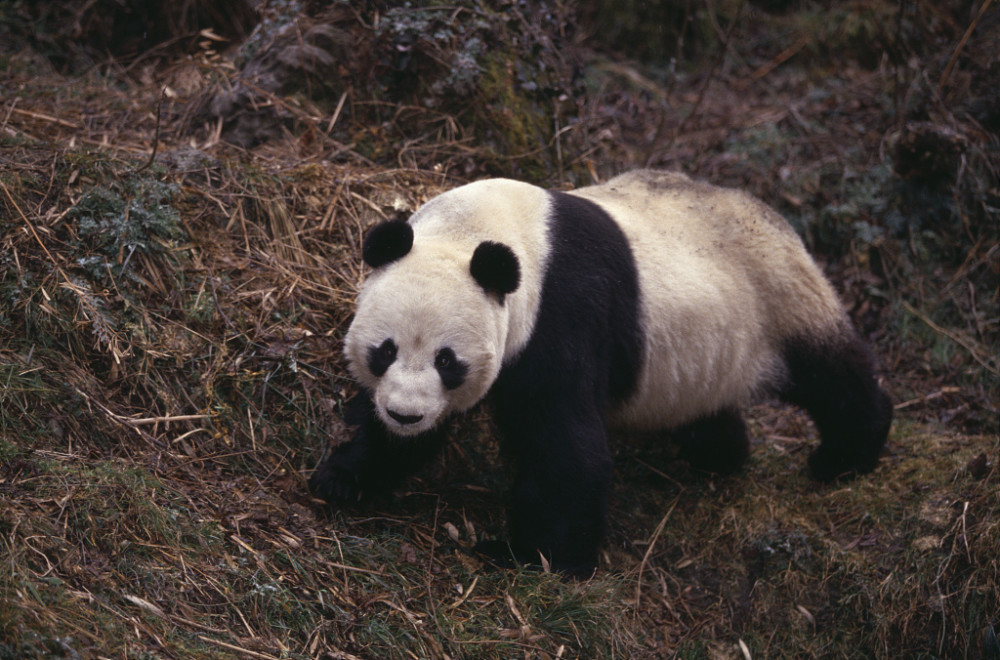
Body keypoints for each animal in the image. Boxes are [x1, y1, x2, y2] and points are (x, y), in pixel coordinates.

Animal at [308, 170, 896, 576]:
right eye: (384, 351)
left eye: (447, 361)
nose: (405, 415)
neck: (486, 231)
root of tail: (777, 218)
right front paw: (345, 477)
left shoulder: (560, 316)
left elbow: (566, 447)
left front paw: (535, 557)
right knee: (707, 404)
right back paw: (718, 454)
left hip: (777, 296)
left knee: (830, 374)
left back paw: (845, 455)